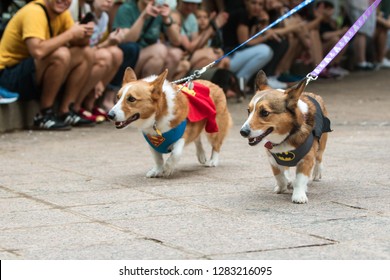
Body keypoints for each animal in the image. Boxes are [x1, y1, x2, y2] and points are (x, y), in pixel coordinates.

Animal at [239, 70, 330, 203]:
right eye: (248, 110)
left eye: (264, 112)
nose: (243, 132)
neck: (285, 137)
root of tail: (311, 93)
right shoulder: (272, 159)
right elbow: (279, 175)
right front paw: (282, 186)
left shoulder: (307, 159)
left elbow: (300, 179)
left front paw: (299, 196)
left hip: (322, 143)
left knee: (319, 157)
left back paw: (317, 173)